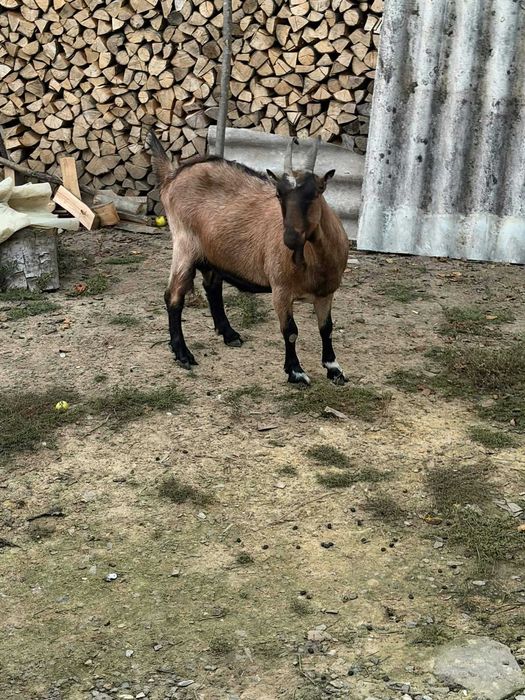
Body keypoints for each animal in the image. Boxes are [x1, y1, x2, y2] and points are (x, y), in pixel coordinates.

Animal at [147, 131, 349, 385]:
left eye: (317, 191)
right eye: (279, 194)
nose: (291, 238)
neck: (315, 261)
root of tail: (172, 175)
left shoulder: (326, 293)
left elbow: (326, 328)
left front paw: (334, 368)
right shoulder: (281, 290)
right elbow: (291, 332)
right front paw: (295, 371)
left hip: (213, 253)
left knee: (212, 287)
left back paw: (229, 334)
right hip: (184, 245)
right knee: (173, 296)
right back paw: (183, 354)